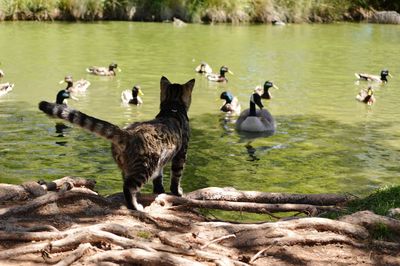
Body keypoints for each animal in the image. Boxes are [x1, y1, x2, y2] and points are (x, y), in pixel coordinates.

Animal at [38, 76, 195, 210]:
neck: (172, 108)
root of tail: (128, 133)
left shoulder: (161, 162)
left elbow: (159, 177)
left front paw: (159, 190)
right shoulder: (181, 153)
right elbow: (176, 175)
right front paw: (177, 192)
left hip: (128, 165)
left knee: (126, 182)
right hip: (145, 166)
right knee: (129, 187)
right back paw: (135, 206)